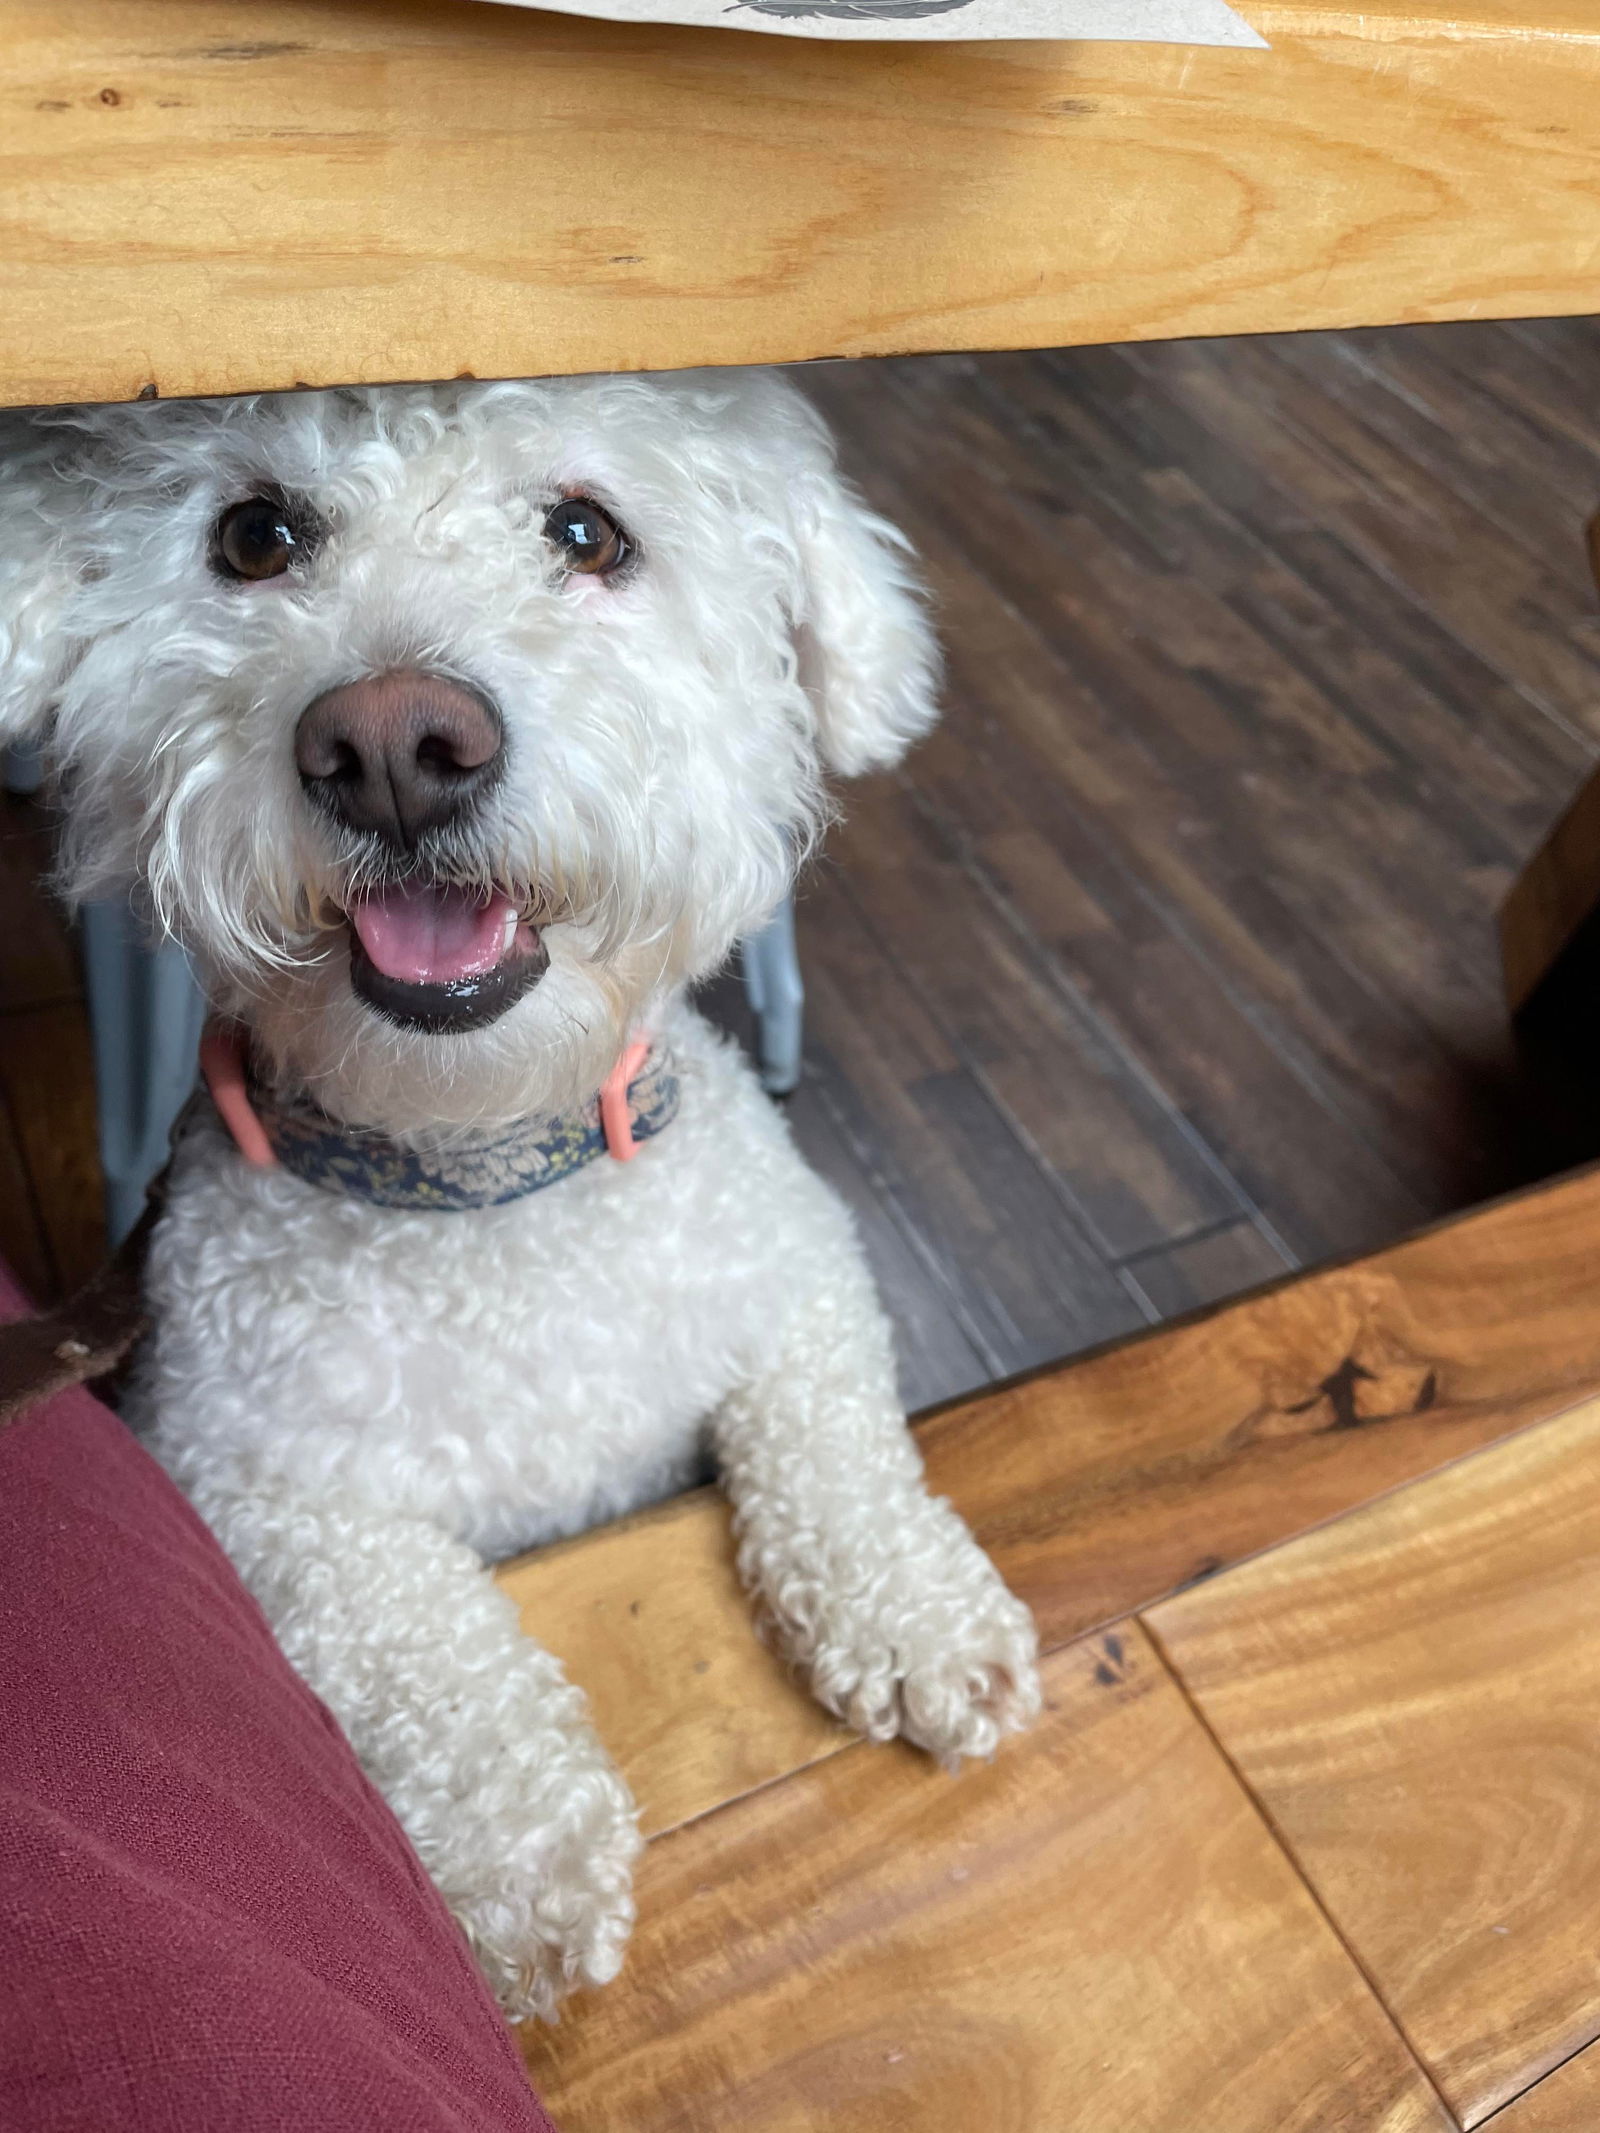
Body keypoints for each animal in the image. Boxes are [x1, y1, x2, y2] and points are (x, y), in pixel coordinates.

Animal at [0, 375, 1041, 2022]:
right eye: (253, 535)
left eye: (586, 532)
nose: (392, 741)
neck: (486, 1185)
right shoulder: (250, 1481)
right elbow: (419, 1638)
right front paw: (518, 1856)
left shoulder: (799, 1274)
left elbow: (840, 1447)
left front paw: (915, 1611)